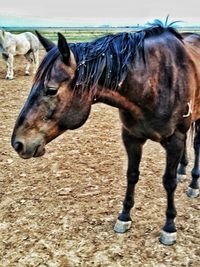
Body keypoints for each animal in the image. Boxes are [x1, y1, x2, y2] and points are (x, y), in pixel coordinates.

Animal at [11, 22, 200, 246]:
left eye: (51, 89)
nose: (18, 143)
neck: (154, 82)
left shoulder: (174, 139)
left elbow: (169, 182)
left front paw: (169, 227)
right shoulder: (131, 137)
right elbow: (132, 175)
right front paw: (124, 216)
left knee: (196, 145)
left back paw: (193, 184)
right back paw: (182, 170)